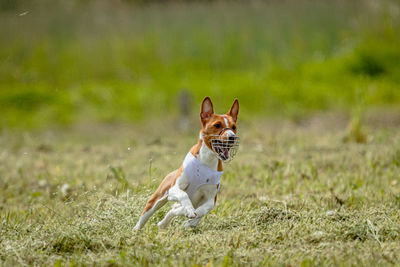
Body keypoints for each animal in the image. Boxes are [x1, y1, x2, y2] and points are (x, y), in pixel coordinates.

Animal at [133, 97, 239, 230]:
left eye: (234, 127)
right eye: (217, 125)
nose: (232, 137)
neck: (207, 161)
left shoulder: (211, 199)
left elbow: (202, 210)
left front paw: (188, 218)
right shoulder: (174, 189)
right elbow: (184, 196)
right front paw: (188, 210)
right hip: (157, 199)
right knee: (145, 215)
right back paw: (136, 230)